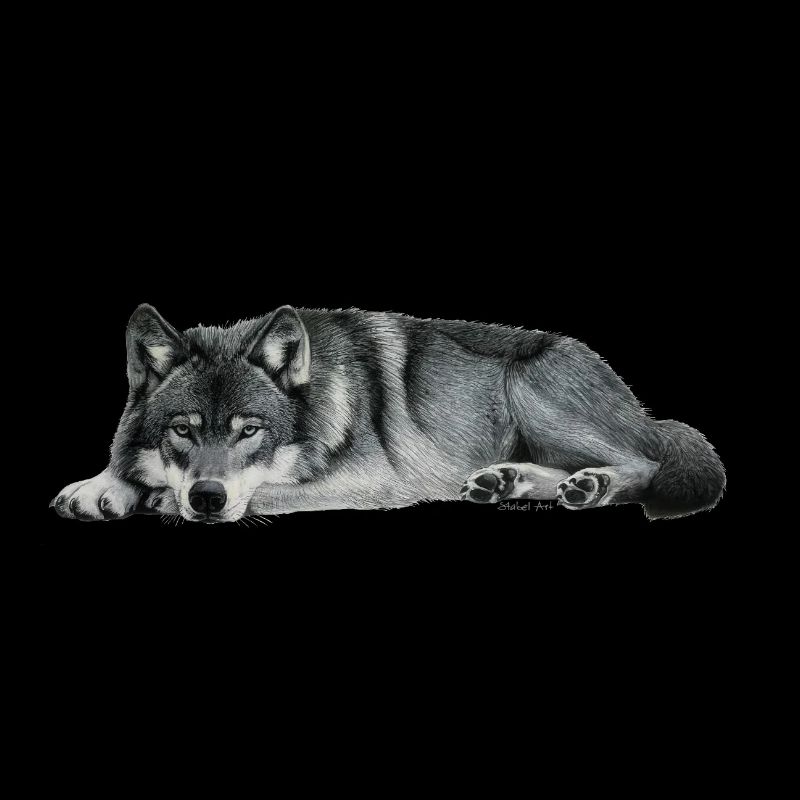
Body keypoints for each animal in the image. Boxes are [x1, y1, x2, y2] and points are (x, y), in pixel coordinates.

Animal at [51, 305, 725, 523]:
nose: (208, 498)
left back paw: (591, 485)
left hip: (534, 391)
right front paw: (100, 487)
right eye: (183, 430)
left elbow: (264, 490)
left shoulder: (373, 481)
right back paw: (506, 481)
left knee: (644, 464)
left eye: (250, 431)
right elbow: (126, 466)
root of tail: (643, 409)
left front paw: (157, 498)